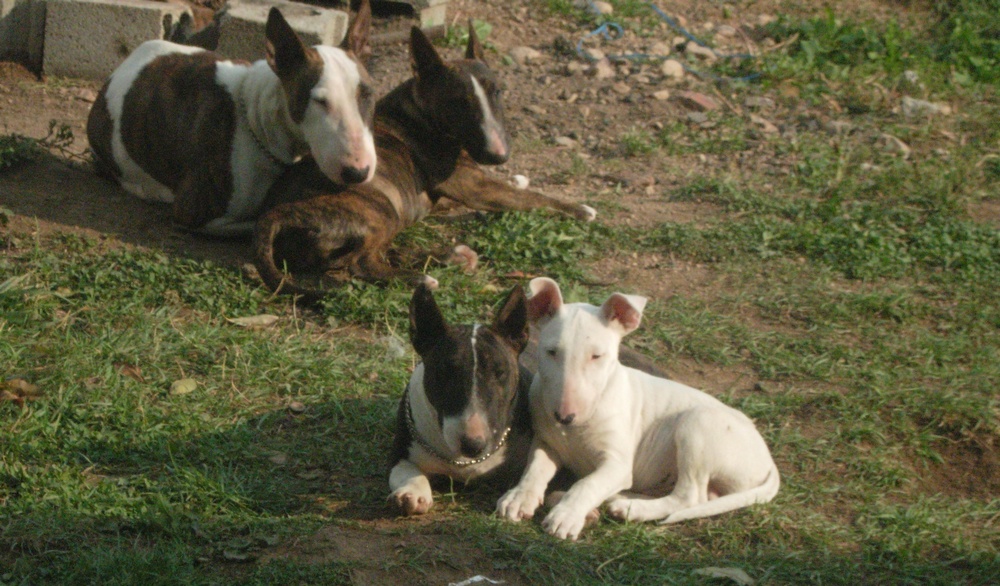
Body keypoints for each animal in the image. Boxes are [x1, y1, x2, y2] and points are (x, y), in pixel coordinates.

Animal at [86, 2, 376, 237]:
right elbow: (257, 221)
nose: (358, 172)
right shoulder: (193, 213)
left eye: (368, 94)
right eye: (319, 101)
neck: (257, 121)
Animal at [253, 24, 596, 299]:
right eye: (459, 103)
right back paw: (421, 278)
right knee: (359, 264)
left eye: (497, 92)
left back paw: (451, 256)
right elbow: (532, 199)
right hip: (379, 207)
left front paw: (518, 177)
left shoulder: (451, 189)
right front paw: (579, 209)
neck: (420, 109)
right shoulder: (472, 186)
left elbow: (514, 188)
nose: (499, 155)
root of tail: (273, 214)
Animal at [389, 282, 533, 516]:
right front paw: (411, 493)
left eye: (500, 373)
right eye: (445, 373)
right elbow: (407, 470)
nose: (473, 445)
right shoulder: (401, 451)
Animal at [496, 277, 780, 540]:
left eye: (597, 356)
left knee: (689, 496)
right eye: (552, 352)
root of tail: (768, 461)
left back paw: (631, 508)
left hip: (698, 424)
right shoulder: (546, 441)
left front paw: (566, 516)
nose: (565, 417)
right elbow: (535, 468)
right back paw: (621, 499)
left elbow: (588, 483)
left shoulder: (618, 463)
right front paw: (519, 498)